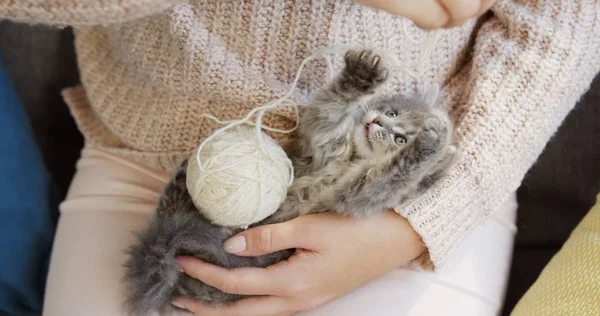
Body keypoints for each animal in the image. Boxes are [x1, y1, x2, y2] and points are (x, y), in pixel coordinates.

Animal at [124, 50, 458, 316]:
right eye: (391, 112)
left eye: (400, 139)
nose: (377, 122)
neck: (350, 157)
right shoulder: (321, 140)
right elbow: (331, 108)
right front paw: (361, 75)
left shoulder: (356, 193)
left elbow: (393, 171)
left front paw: (431, 142)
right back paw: (180, 181)